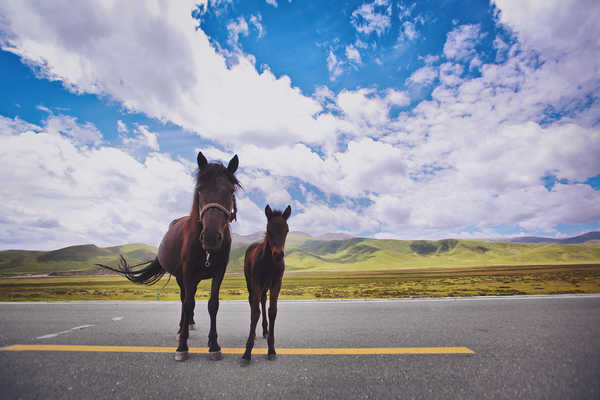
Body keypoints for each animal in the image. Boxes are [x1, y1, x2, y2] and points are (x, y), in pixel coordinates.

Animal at [97, 152, 240, 360]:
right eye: (199, 190)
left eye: (230, 191)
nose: (211, 237)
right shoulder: (187, 271)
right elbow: (187, 303)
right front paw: (182, 346)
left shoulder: (219, 271)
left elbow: (213, 305)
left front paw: (213, 344)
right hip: (182, 276)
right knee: (184, 299)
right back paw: (182, 328)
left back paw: (189, 324)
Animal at [243, 205, 292, 364]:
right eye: (268, 230)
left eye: (286, 230)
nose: (278, 255)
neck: (270, 263)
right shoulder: (256, 282)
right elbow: (255, 312)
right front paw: (247, 351)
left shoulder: (277, 283)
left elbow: (272, 311)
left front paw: (271, 349)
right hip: (251, 283)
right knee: (253, 301)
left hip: (265, 287)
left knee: (263, 301)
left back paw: (265, 330)